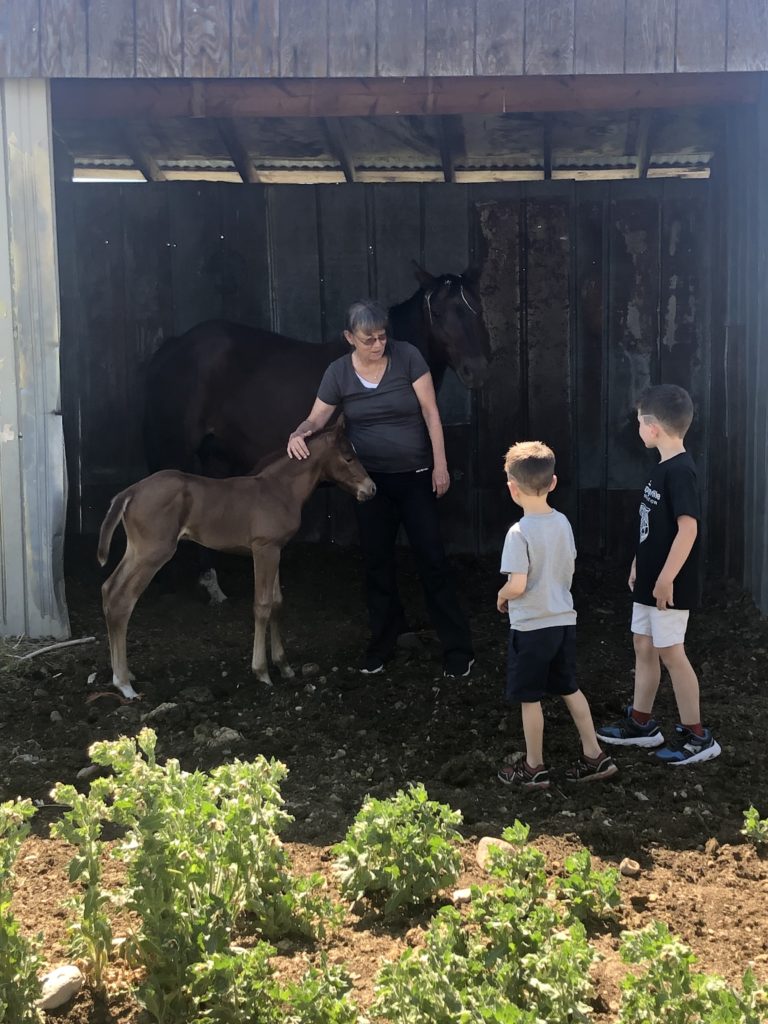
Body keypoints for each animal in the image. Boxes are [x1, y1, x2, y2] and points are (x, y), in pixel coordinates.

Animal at [97, 422, 375, 699]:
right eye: (348, 458)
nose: (371, 489)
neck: (280, 490)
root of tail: (130, 492)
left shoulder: (276, 549)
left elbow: (277, 603)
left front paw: (284, 666)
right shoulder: (263, 548)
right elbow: (262, 605)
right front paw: (262, 672)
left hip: (137, 550)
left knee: (109, 589)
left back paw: (125, 674)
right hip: (153, 552)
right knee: (122, 599)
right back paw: (124, 684)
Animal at [142, 262, 491, 601]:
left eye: (477, 308)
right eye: (438, 313)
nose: (476, 370)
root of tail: (173, 346)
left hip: (215, 454)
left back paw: (212, 584)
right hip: (176, 450)